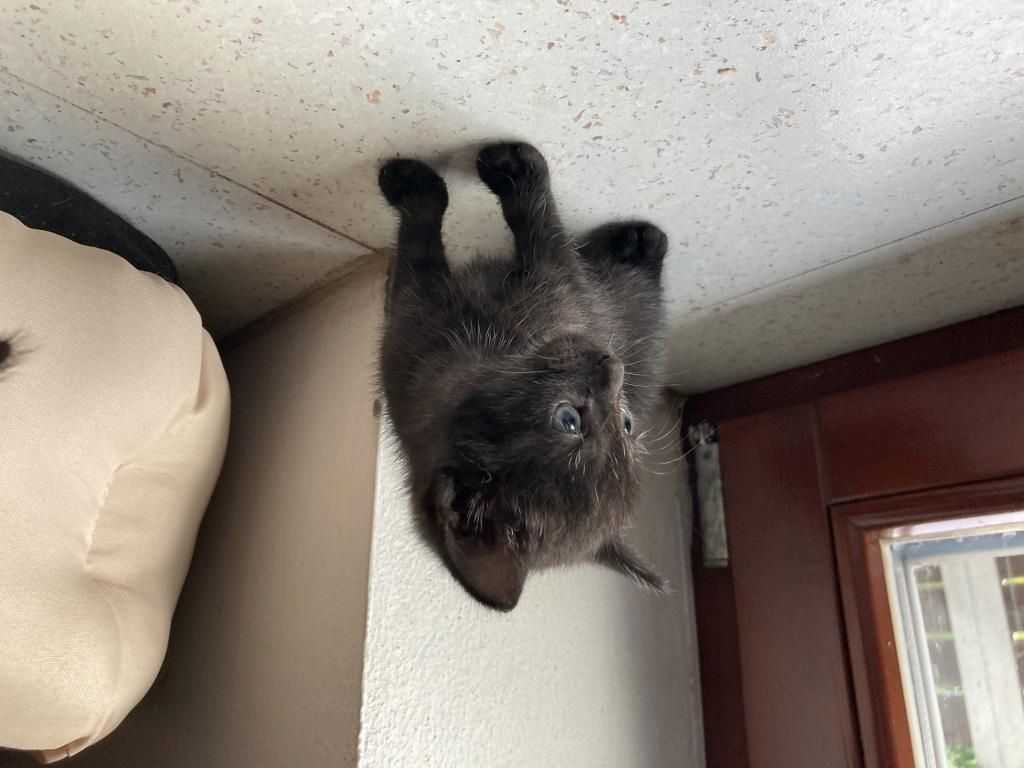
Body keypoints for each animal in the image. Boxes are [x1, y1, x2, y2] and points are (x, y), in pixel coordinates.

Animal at [378, 142, 669, 611]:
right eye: (569, 420)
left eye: (625, 425)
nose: (612, 364)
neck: (490, 355)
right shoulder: (409, 329)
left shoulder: (562, 288)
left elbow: (543, 236)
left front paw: (510, 169)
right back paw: (637, 246)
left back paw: (638, 246)